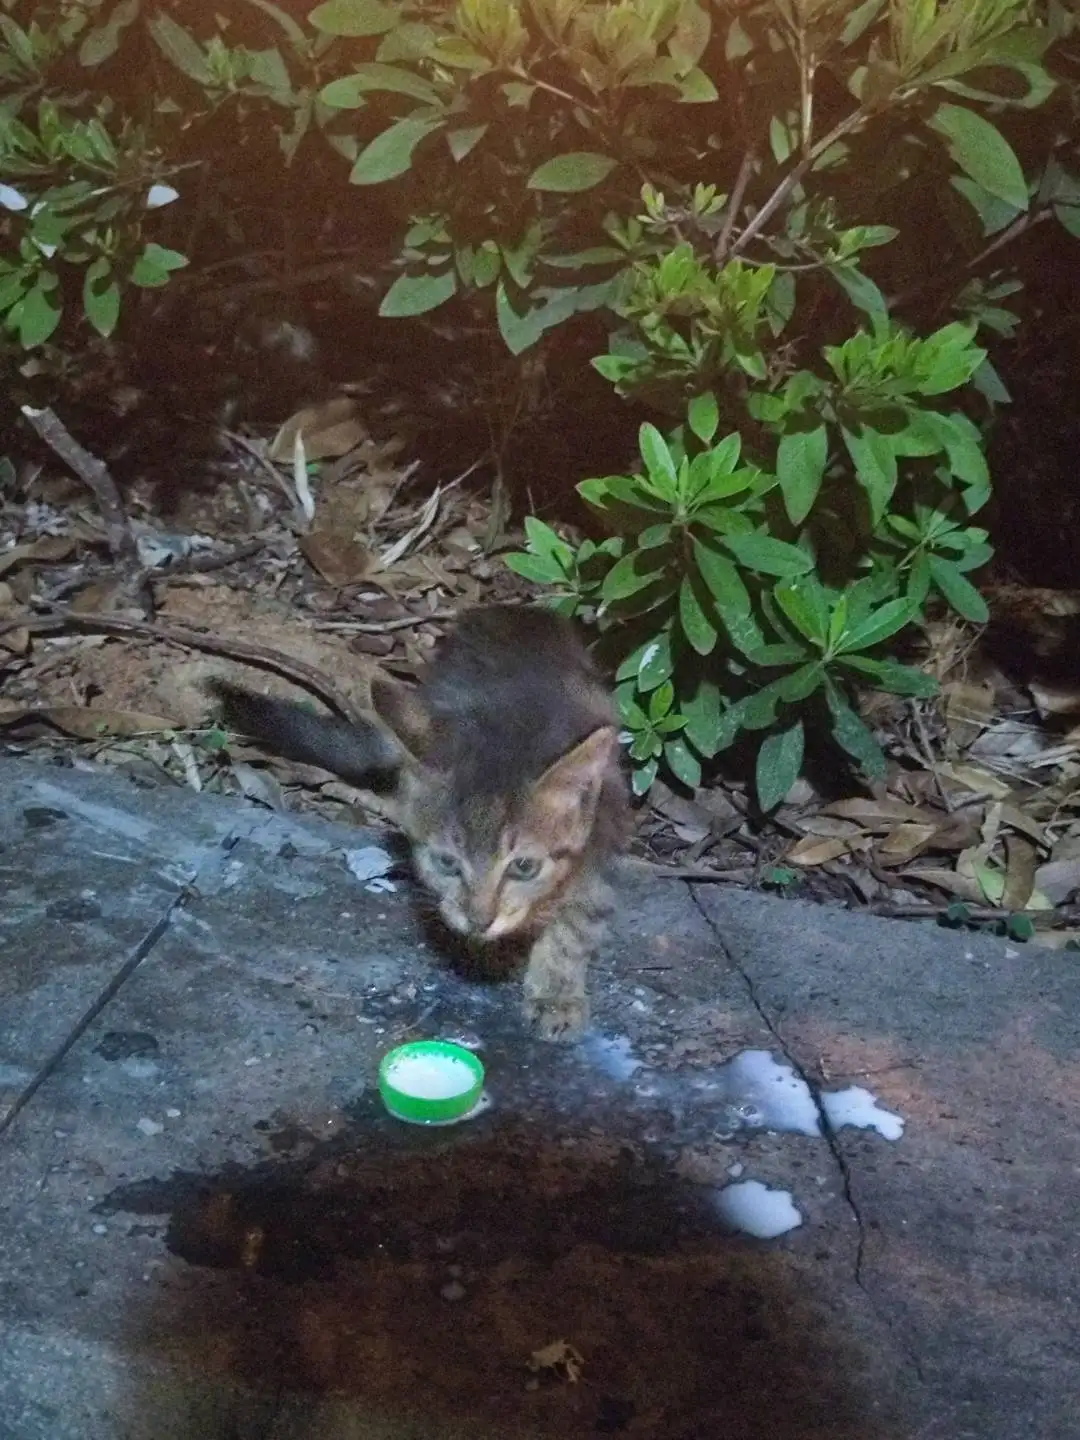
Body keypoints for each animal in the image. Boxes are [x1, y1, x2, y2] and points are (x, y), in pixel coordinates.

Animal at [208, 604, 633, 1036]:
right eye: (447, 863)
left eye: (524, 867)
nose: (479, 921)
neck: (514, 726)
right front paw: (485, 951)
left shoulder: (604, 833)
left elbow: (577, 922)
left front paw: (556, 992)